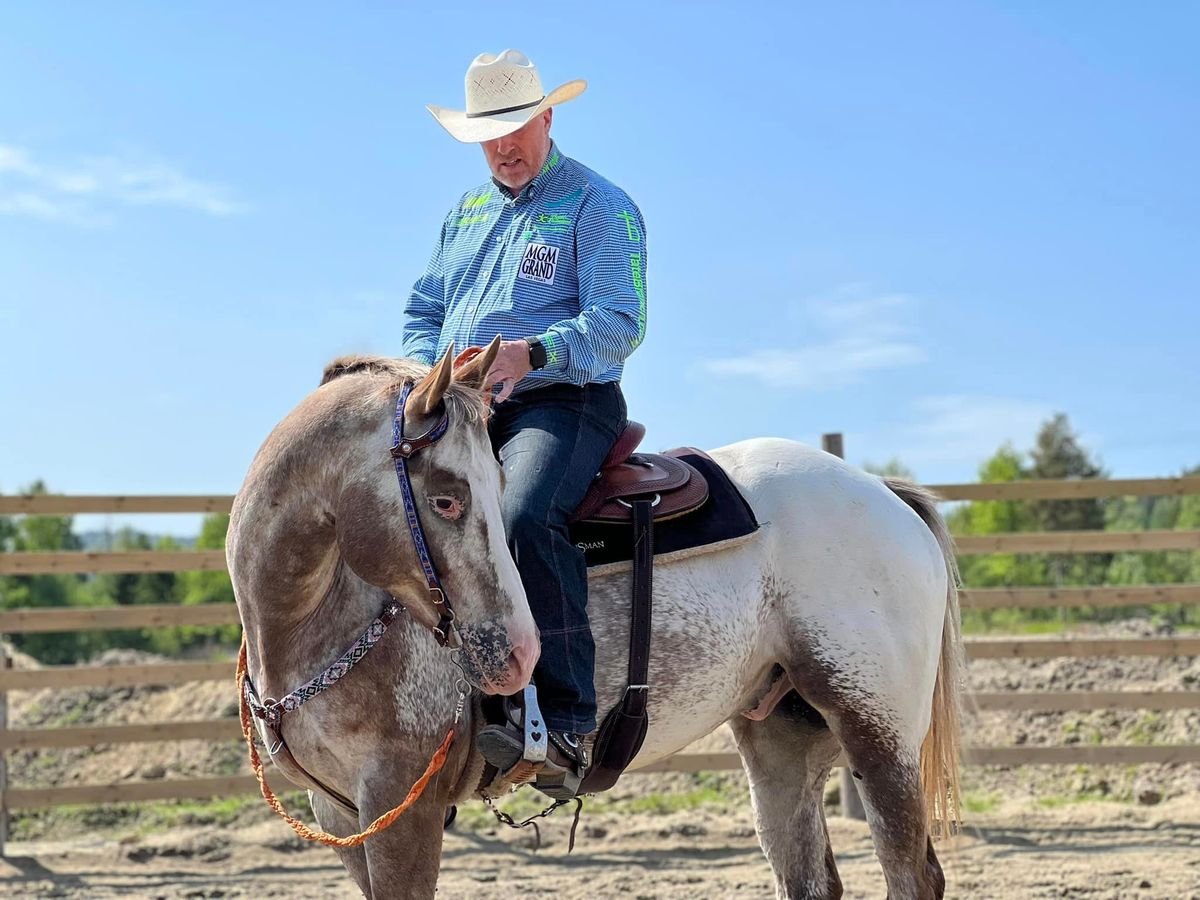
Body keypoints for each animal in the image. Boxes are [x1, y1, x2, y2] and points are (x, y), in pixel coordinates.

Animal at [226, 340, 964, 897]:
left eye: (491, 489)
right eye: (445, 499)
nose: (519, 655)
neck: (313, 622)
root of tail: (879, 489)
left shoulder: (403, 803)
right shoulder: (341, 812)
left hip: (876, 728)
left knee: (912, 874)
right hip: (783, 732)